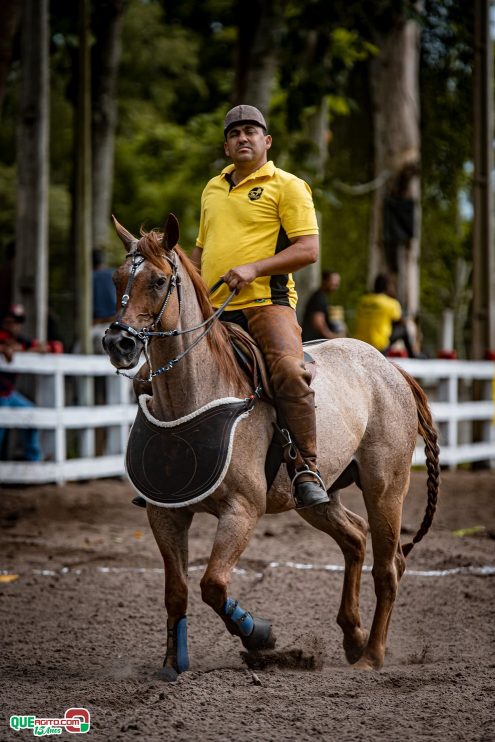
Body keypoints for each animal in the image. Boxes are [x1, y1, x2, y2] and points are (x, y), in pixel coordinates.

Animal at [105, 215, 442, 684]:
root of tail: (391, 367)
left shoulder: (242, 511)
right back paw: (353, 637)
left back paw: (372, 655)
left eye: (157, 281)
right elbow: (177, 591)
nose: (117, 342)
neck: (199, 393)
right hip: (316, 497)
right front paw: (172, 665)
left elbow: (213, 584)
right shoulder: (165, 513)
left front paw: (259, 636)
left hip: (386, 487)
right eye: (118, 277)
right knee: (355, 538)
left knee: (388, 567)